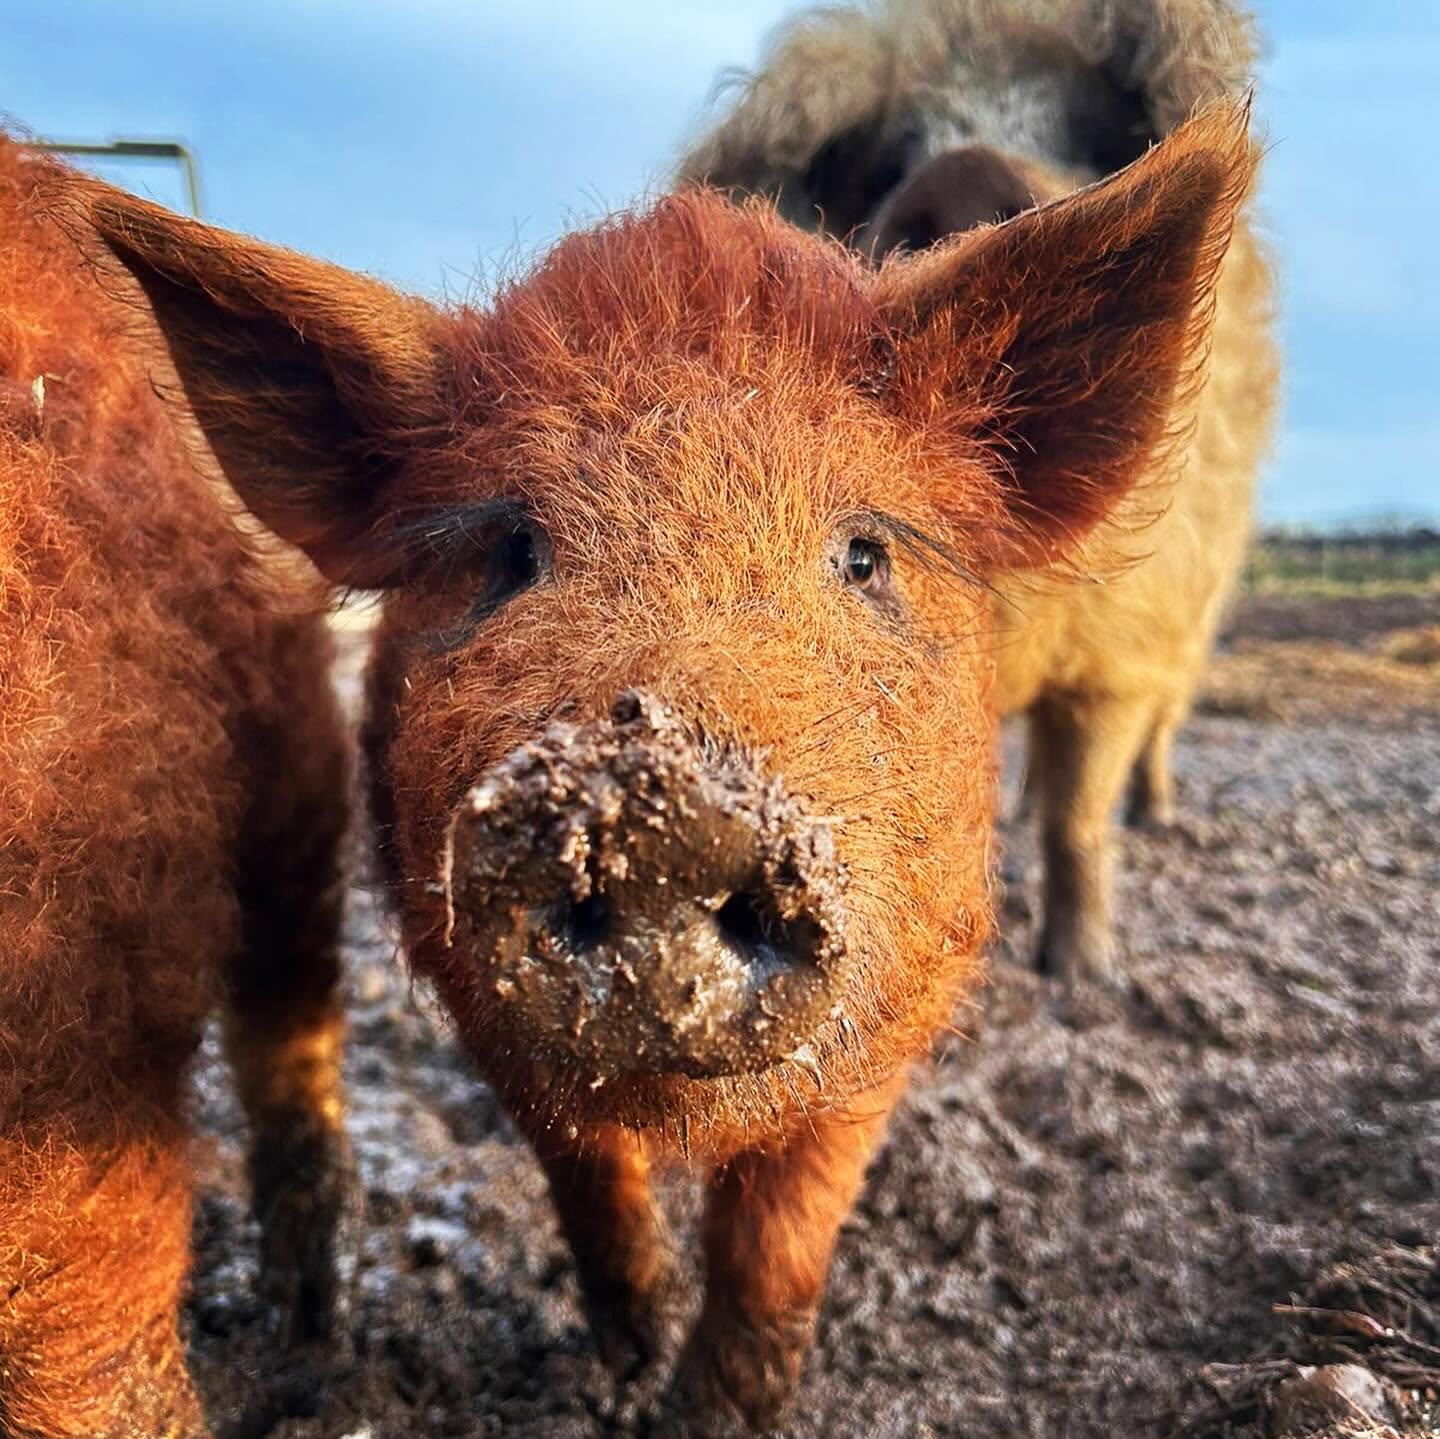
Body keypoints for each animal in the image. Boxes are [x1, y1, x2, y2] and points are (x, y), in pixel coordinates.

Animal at [81, 105, 1255, 1434]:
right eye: (511, 550)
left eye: (862, 553)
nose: (662, 807)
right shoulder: (468, 989)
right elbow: (586, 1170)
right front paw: (627, 1362)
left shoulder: (905, 966)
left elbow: (781, 1228)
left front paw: (712, 1406)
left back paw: (1087, 974)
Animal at [678, 0, 1281, 983]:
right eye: (887, 160)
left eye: (1099, 136)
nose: (960, 176)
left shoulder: (1118, 656)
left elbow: (1080, 812)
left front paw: (1080, 977)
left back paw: (1152, 817)